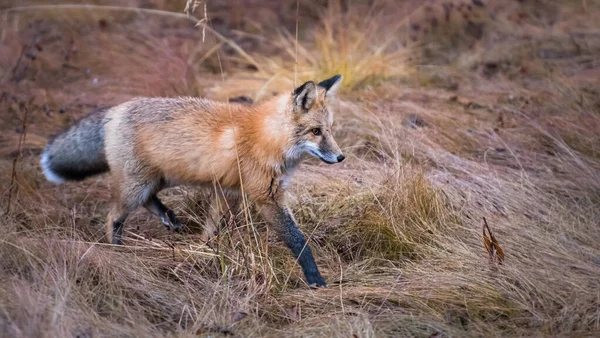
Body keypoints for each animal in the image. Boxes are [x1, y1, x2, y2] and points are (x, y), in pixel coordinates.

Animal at [39, 75, 344, 286]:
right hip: (137, 186)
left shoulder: (228, 191)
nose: (341, 157)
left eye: (330, 129)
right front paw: (314, 277)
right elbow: (297, 239)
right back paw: (118, 250)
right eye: (316, 131)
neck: (267, 138)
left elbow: (213, 227)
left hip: (160, 179)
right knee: (113, 216)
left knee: (149, 201)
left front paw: (206, 251)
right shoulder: (265, 197)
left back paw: (170, 219)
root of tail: (117, 109)